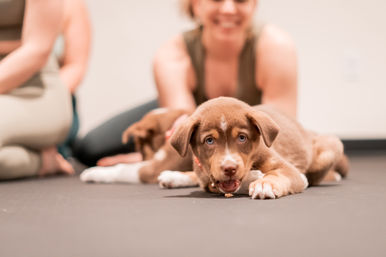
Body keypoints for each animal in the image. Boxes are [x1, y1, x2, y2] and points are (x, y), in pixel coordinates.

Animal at [158, 96, 348, 198]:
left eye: (242, 138)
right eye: (209, 140)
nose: (229, 168)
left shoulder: (291, 170)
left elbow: (279, 174)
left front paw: (265, 184)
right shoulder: (209, 178)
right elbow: (217, 184)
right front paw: (254, 177)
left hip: (330, 148)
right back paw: (172, 176)